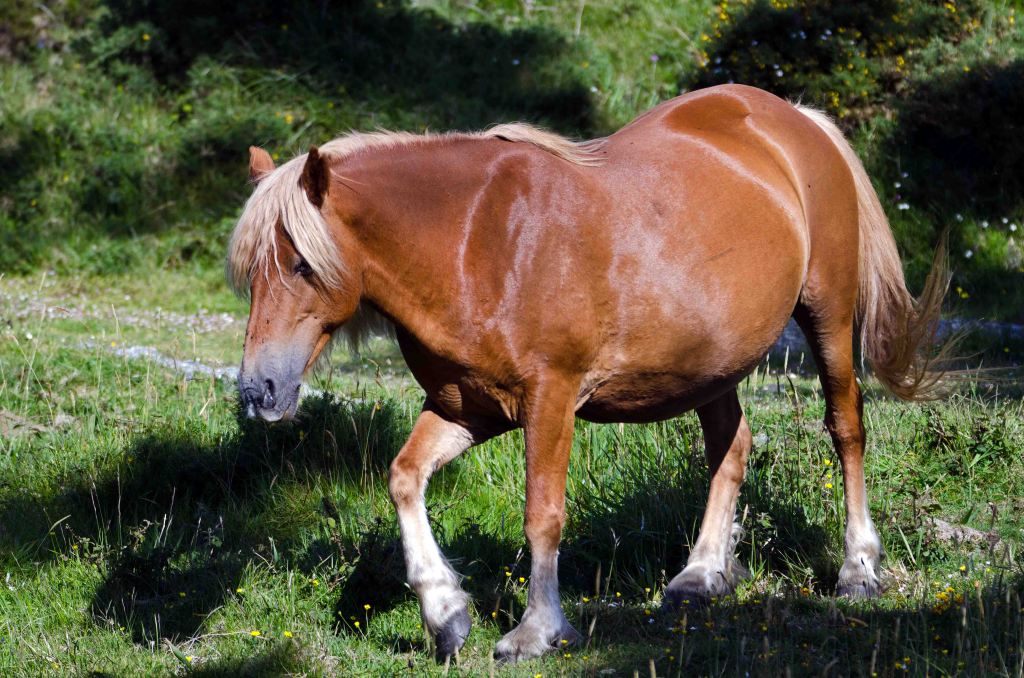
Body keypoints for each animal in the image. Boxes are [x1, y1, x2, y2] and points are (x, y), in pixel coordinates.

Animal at [228, 84, 953, 663]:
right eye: (251, 272)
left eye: (301, 265)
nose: (259, 390)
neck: (477, 243)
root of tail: (796, 119)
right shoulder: (467, 409)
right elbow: (404, 479)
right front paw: (445, 613)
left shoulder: (549, 401)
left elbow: (542, 515)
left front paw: (537, 630)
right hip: (711, 365)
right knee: (731, 446)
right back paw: (701, 575)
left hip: (827, 315)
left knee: (846, 429)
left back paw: (858, 568)